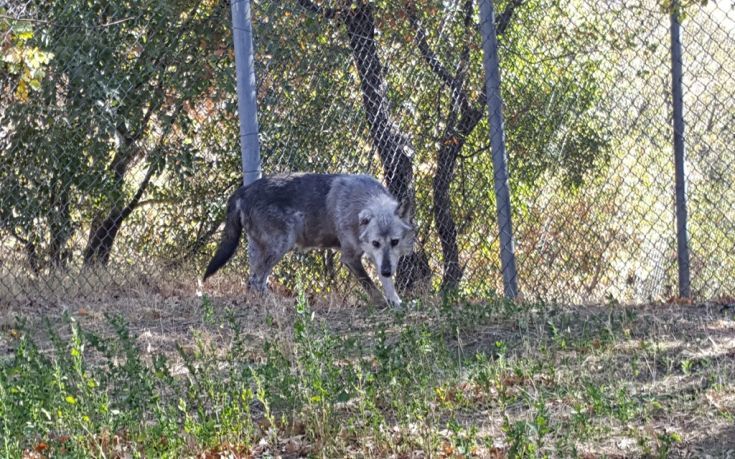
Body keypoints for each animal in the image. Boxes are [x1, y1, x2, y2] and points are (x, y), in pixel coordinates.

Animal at [204, 172, 416, 306]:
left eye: (395, 242)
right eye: (376, 243)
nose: (388, 270)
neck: (362, 200)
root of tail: (243, 190)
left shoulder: (379, 259)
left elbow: (385, 283)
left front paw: (396, 301)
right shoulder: (350, 258)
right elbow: (370, 285)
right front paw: (383, 303)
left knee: (252, 282)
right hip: (281, 245)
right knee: (256, 281)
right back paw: (278, 304)